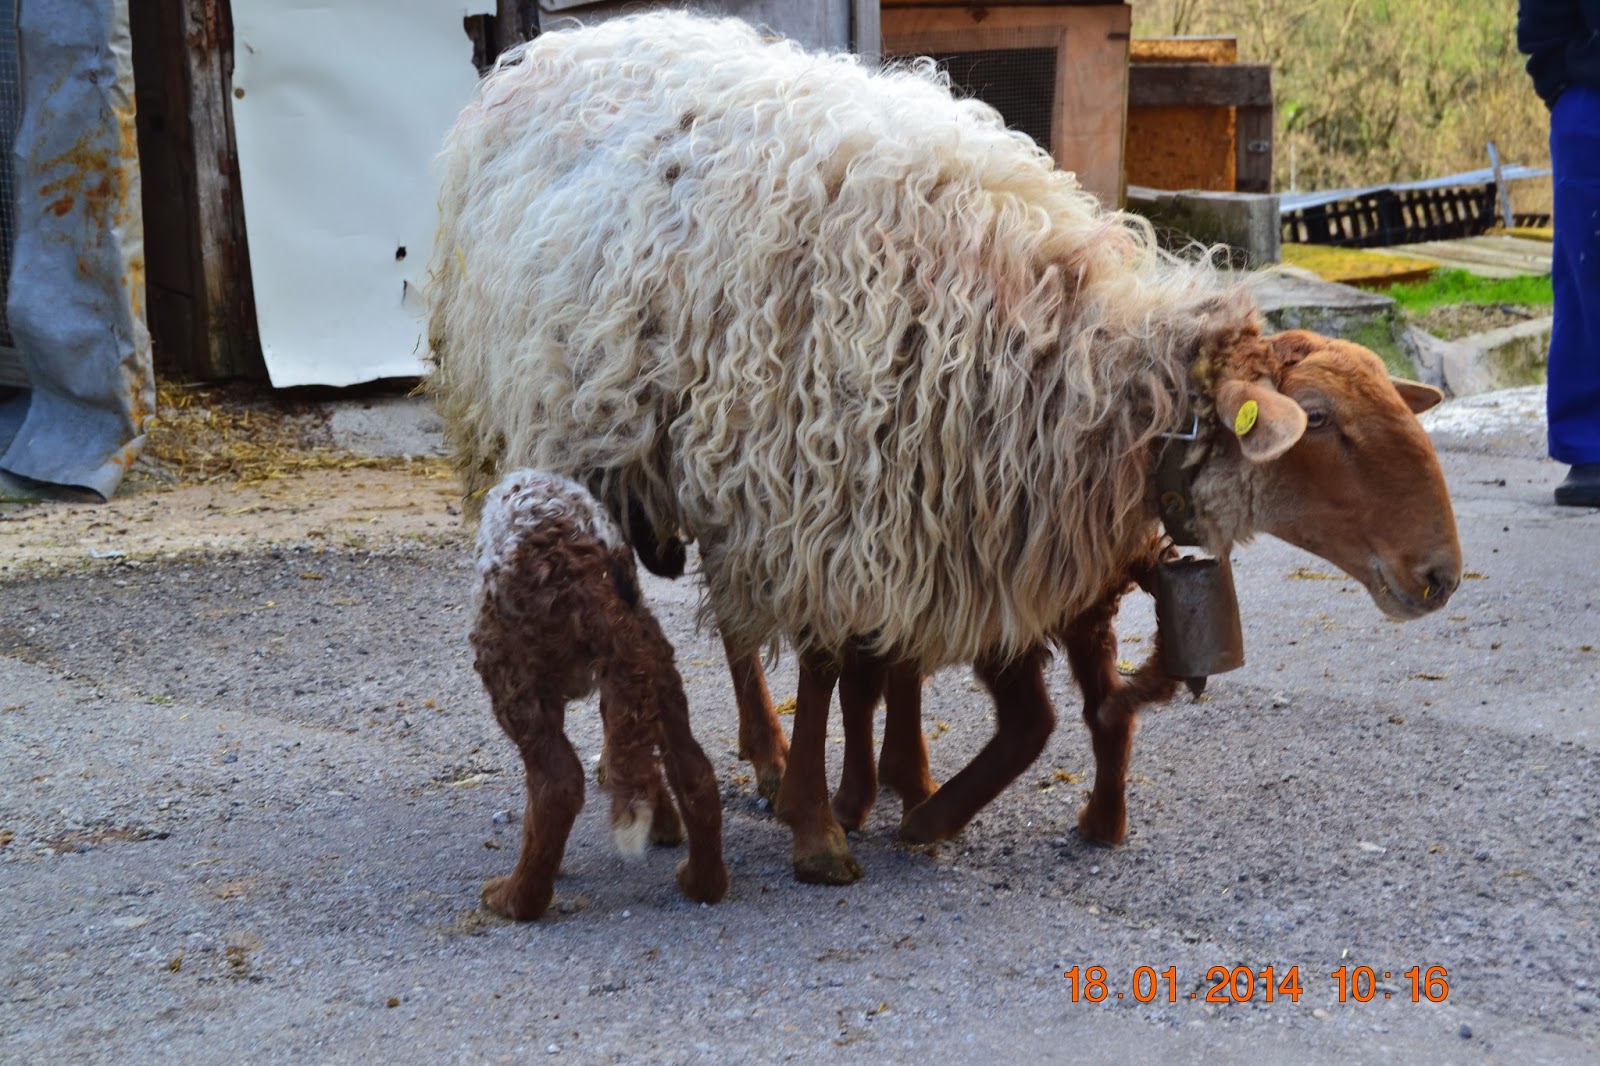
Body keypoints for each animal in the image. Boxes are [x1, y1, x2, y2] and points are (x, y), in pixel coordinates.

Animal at [469, 468, 727, 919]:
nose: (675, 558)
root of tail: (589, 579)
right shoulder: (624, 682)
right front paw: (663, 825)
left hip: (510, 672)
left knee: (556, 786)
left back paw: (517, 899)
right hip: (651, 658)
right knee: (692, 769)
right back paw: (702, 883)